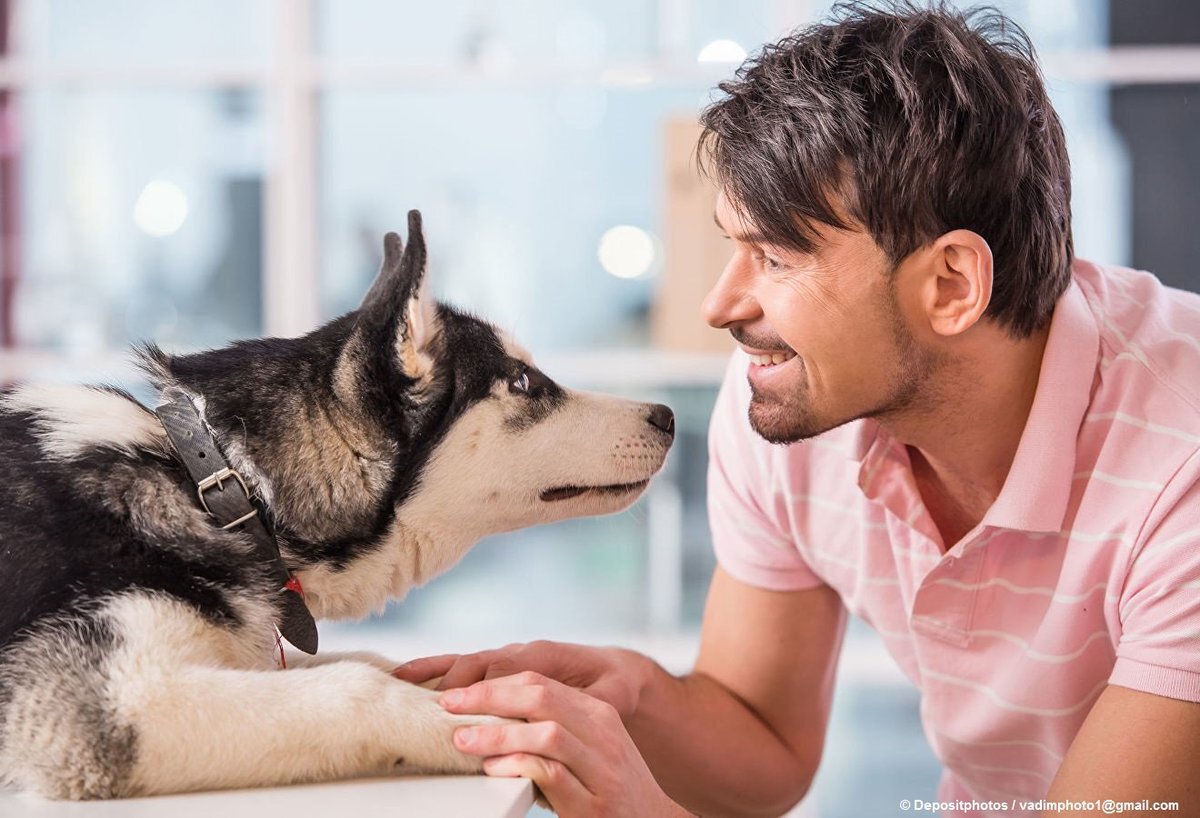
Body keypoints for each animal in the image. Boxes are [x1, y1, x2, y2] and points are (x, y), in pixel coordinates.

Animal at [0, 209, 676, 796]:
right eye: (524, 382)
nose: (667, 415)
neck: (220, 481)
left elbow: (372, 661)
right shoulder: (111, 704)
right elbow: (356, 686)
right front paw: (482, 722)